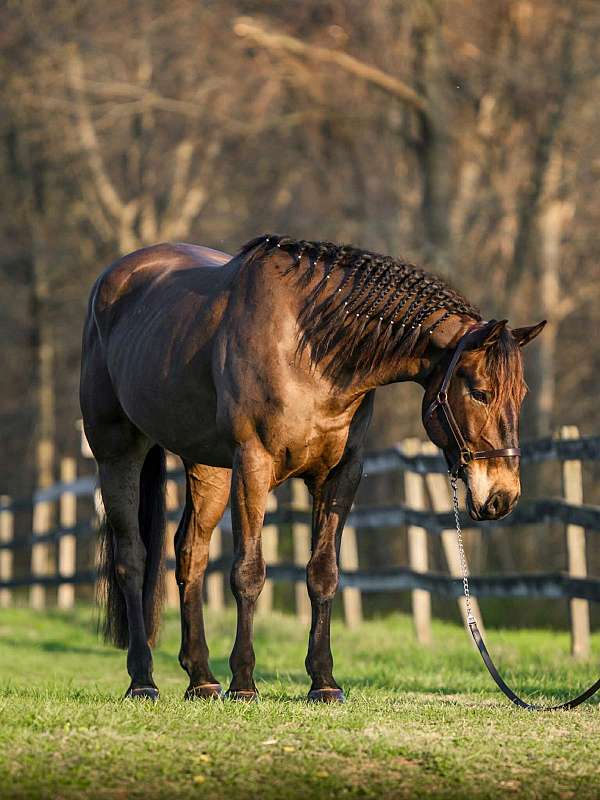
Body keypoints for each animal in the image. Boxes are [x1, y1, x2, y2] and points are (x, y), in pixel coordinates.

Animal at [80, 234, 545, 702]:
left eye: (520, 393)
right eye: (480, 392)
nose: (502, 497)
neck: (311, 351)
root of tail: (115, 278)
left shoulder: (340, 475)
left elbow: (323, 574)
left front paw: (324, 682)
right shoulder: (253, 465)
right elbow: (249, 572)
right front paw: (244, 683)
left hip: (207, 467)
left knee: (190, 553)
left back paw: (202, 679)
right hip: (118, 451)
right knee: (132, 558)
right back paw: (143, 679)